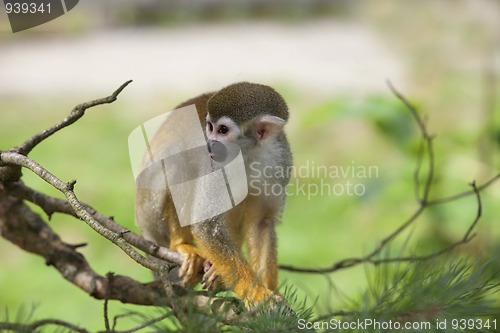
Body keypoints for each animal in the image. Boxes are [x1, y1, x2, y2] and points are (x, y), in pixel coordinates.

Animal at [136, 81, 292, 308]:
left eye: (223, 130)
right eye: (209, 127)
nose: (209, 143)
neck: (248, 155)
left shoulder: (279, 161)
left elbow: (261, 222)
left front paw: (271, 291)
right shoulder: (215, 164)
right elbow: (207, 225)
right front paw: (256, 294)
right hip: (148, 210)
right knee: (178, 163)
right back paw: (181, 245)